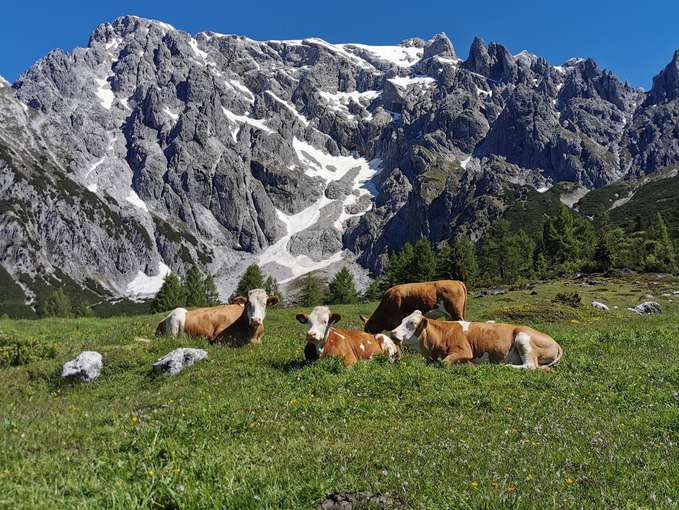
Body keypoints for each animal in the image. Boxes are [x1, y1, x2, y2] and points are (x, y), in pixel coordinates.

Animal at [388, 310, 564, 370]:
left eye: (412, 323)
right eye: (402, 320)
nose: (392, 332)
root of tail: (555, 342)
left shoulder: (464, 350)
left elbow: (444, 363)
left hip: (523, 338)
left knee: (530, 365)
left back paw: (505, 366)